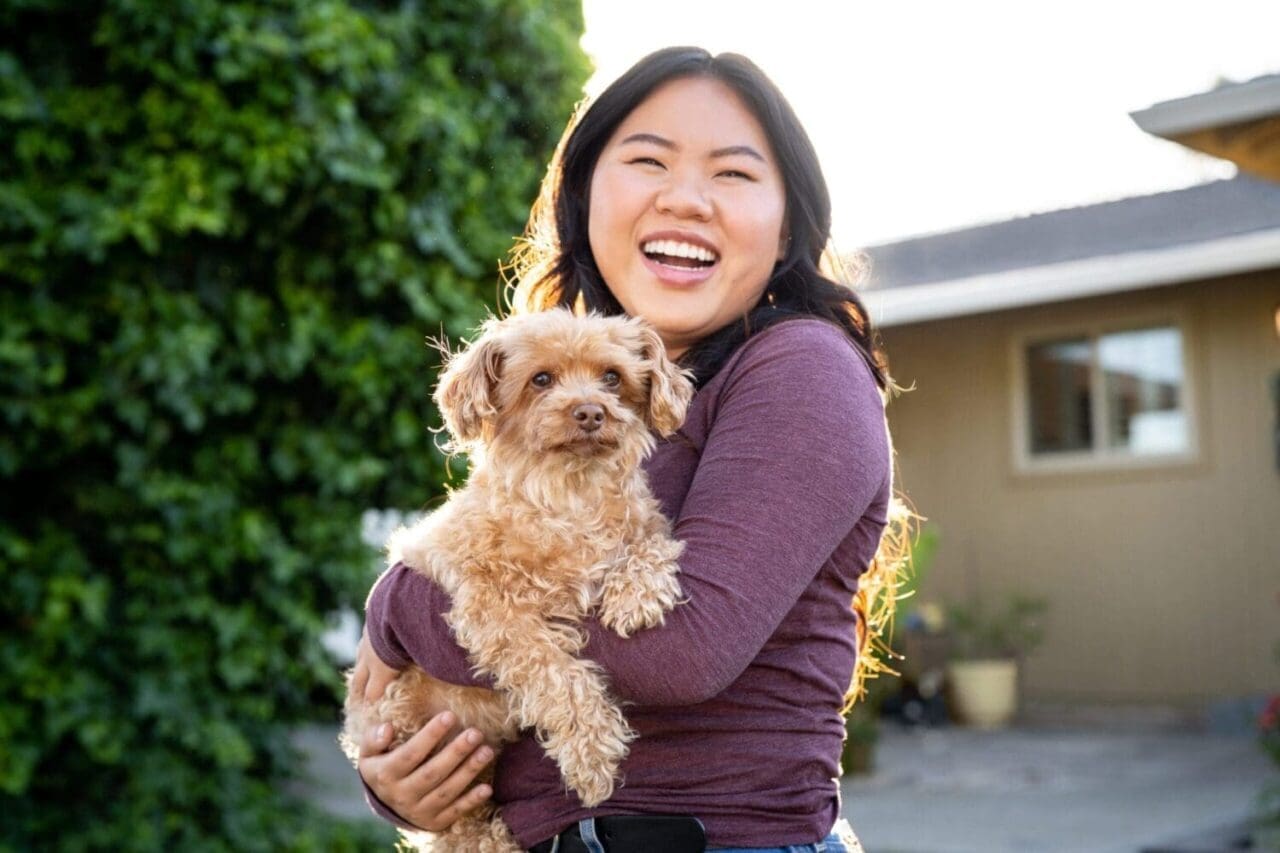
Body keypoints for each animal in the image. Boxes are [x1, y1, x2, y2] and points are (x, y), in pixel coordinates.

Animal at [343, 308, 691, 845]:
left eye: (612, 377)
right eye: (541, 379)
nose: (590, 412)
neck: (571, 494)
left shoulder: (645, 526)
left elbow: (651, 546)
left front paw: (637, 594)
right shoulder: (490, 609)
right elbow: (556, 672)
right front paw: (592, 758)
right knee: (459, 830)